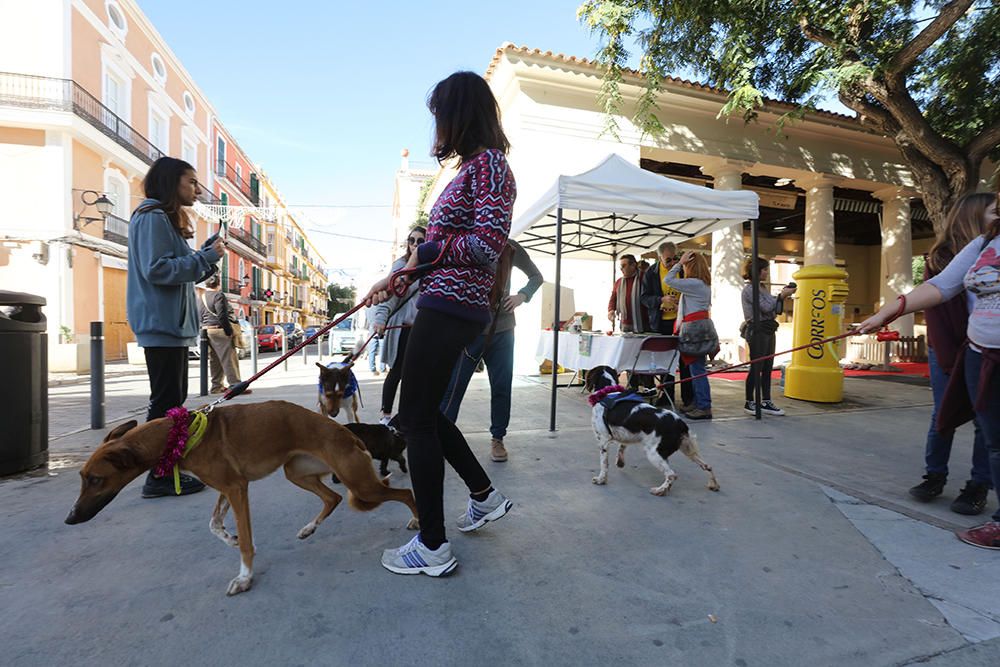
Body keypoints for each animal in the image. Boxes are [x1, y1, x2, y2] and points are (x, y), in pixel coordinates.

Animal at [65, 400, 418, 596]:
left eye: (95, 479)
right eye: (82, 478)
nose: (70, 518)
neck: (178, 437)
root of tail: (348, 434)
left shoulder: (236, 489)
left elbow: (246, 540)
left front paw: (245, 576)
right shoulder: (227, 488)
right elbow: (213, 524)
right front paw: (231, 539)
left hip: (361, 483)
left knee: (405, 493)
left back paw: (417, 520)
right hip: (297, 472)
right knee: (332, 498)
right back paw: (308, 529)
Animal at [584, 366, 720, 496]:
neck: (607, 393)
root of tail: (680, 423)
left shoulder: (603, 440)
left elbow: (604, 463)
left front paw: (601, 480)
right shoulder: (626, 434)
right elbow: (622, 447)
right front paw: (620, 462)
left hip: (654, 453)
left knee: (672, 475)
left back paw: (659, 490)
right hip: (687, 449)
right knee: (707, 466)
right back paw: (713, 485)